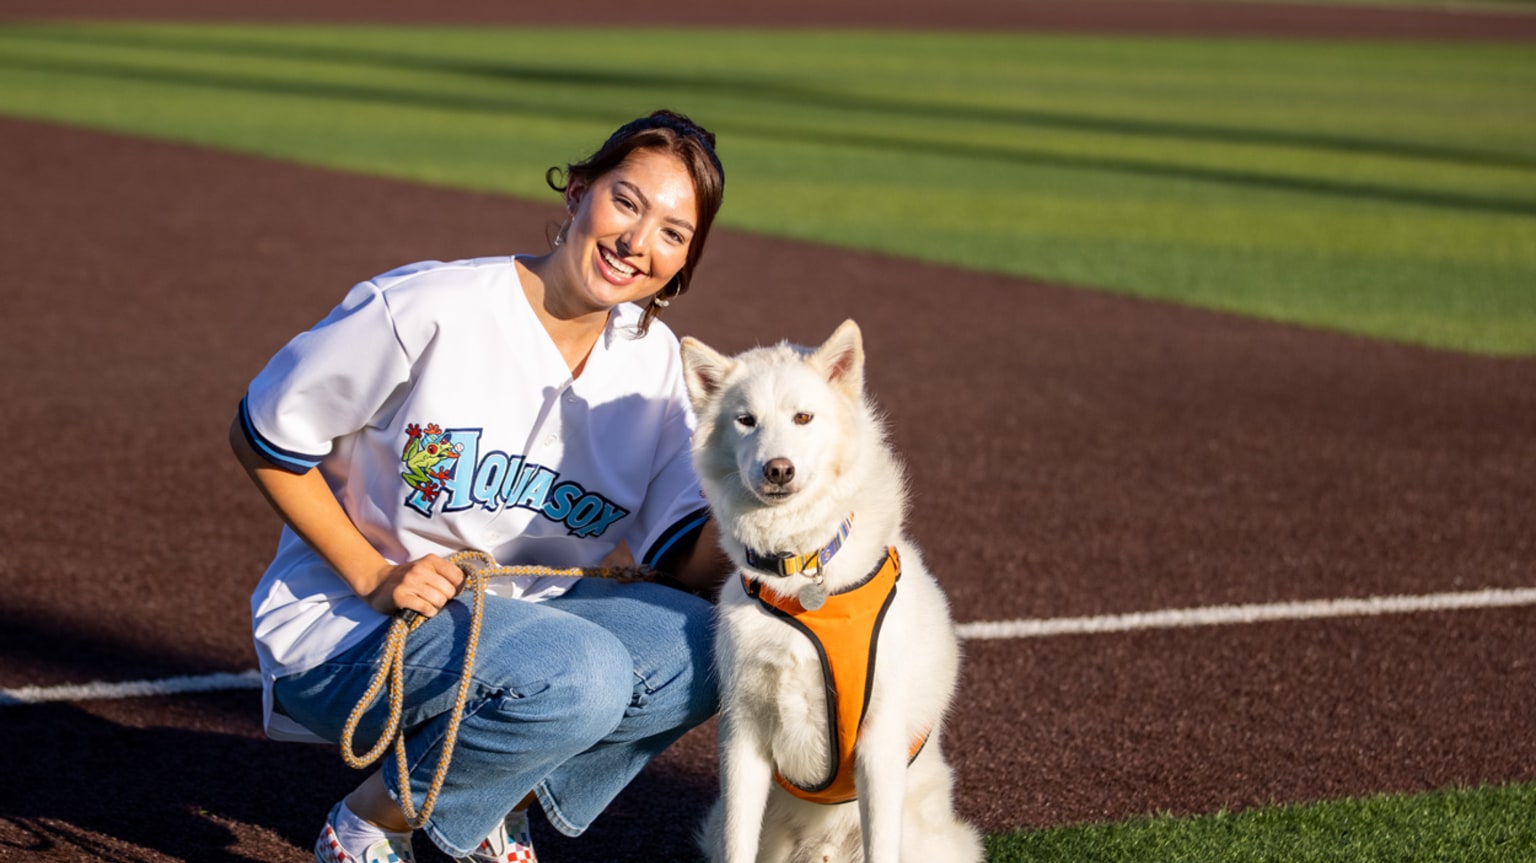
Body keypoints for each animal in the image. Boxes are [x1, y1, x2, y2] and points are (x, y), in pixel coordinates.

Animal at [685, 319, 983, 853]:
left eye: (803, 417)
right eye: (746, 421)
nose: (778, 469)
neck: (799, 572)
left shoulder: (879, 743)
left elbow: (882, 847)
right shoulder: (742, 737)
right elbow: (738, 844)